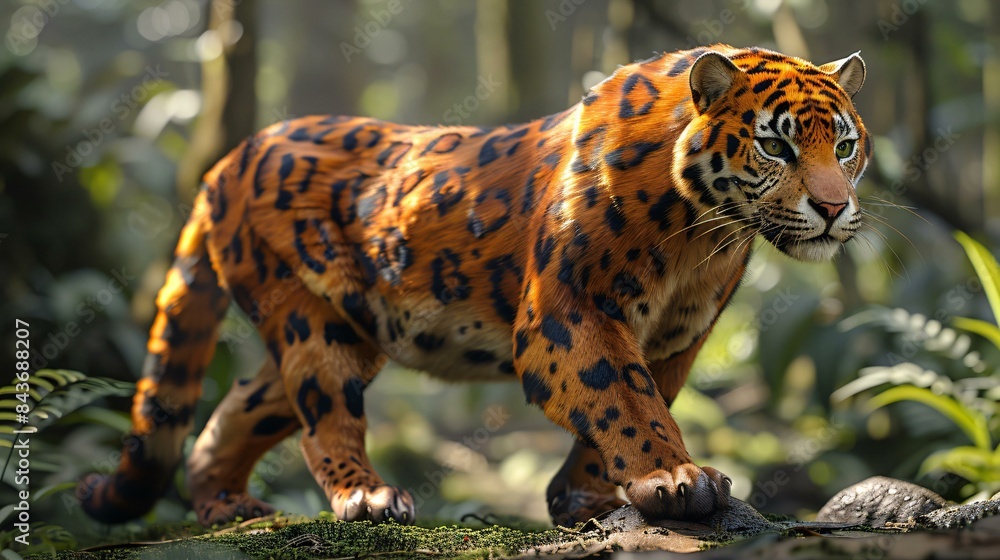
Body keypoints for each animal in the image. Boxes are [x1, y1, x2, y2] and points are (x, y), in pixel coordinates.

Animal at [77, 44, 869, 527]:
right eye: (776, 144)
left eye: (846, 144)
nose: (833, 208)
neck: (703, 231)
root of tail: (231, 157)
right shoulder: (569, 311)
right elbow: (621, 395)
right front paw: (672, 479)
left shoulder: (678, 333)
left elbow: (640, 397)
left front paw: (581, 497)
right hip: (313, 325)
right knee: (323, 415)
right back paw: (367, 497)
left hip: (340, 331)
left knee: (236, 411)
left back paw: (225, 505)